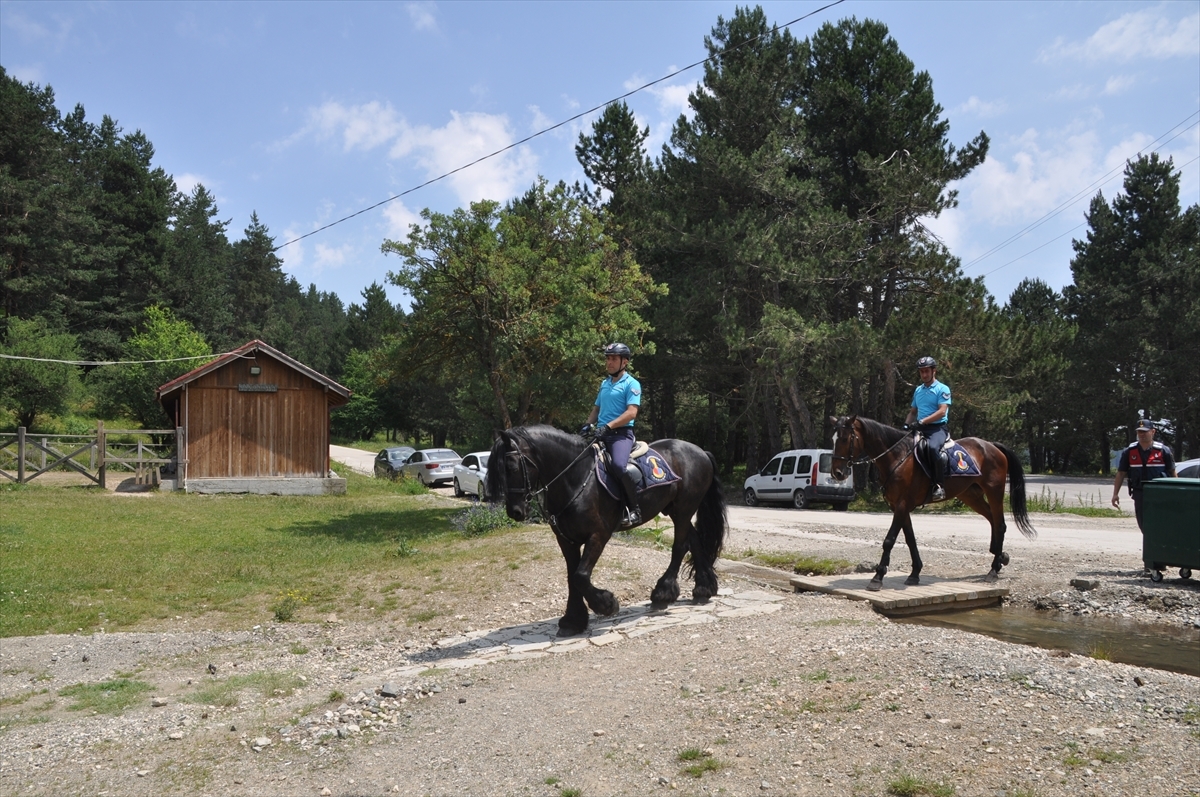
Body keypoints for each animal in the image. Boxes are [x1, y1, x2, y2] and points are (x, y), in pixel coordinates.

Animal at [482, 422, 724, 633]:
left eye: (511, 467)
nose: (515, 511)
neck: (576, 478)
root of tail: (700, 451)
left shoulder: (599, 535)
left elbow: (580, 576)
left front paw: (606, 604)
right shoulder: (566, 540)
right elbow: (572, 577)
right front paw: (573, 620)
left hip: (684, 509)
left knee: (680, 546)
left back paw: (663, 594)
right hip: (674, 509)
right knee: (694, 540)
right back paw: (704, 589)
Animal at [830, 417, 1036, 590]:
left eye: (845, 439)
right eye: (833, 439)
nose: (837, 473)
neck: (897, 457)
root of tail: (991, 446)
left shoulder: (902, 505)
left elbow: (889, 540)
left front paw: (877, 577)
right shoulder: (899, 506)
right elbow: (910, 539)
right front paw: (915, 573)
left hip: (994, 492)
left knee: (1000, 524)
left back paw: (993, 569)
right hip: (971, 496)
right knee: (993, 520)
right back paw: (1000, 557)